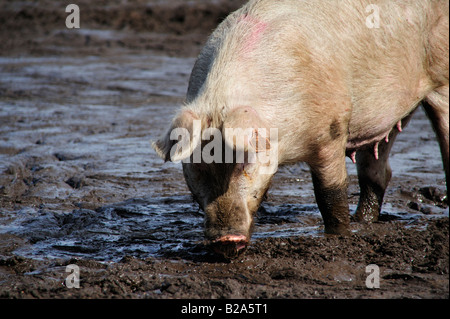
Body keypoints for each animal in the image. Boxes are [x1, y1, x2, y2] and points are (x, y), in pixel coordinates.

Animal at [153, 0, 448, 260]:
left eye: (245, 163)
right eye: (197, 167)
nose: (225, 239)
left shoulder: (332, 130)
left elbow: (330, 194)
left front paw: (339, 236)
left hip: (442, 77)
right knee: (378, 173)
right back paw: (363, 221)